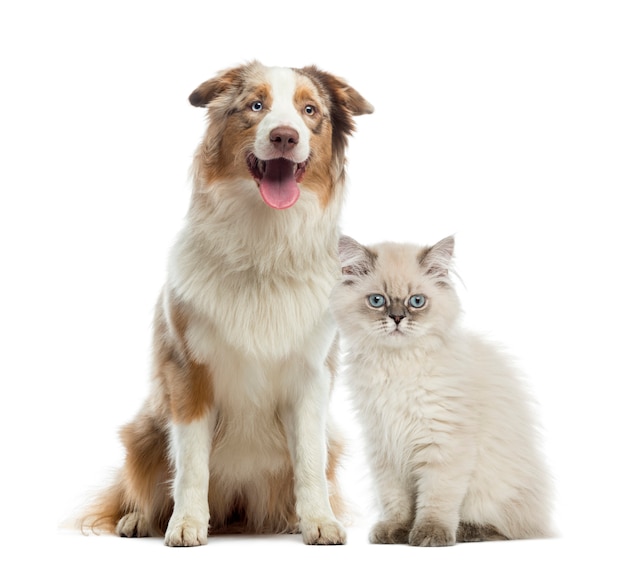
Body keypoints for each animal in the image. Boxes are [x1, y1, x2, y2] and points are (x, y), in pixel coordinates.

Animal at [78, 61, 370, 544]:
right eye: (255, 105)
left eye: (309, 110)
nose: (285, 136)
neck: (264, 245)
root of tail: (236, 509)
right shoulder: (188, 371)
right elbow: (192, 465)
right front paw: (186, 524)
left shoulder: (311, 376)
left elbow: (309, 462)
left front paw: (319, 522)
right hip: (144, 430)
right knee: (136, 487)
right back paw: (138, 519)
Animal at [332, 236, 552, 544]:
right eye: (377, 301)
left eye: (417, 301)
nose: (397, 318)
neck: (397, 365)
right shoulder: (385, 444)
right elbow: (395, 500)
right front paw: (396, 530)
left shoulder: (444, 443)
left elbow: (437, 498)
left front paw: (429, 535)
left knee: (505, 528)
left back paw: (466, 531)